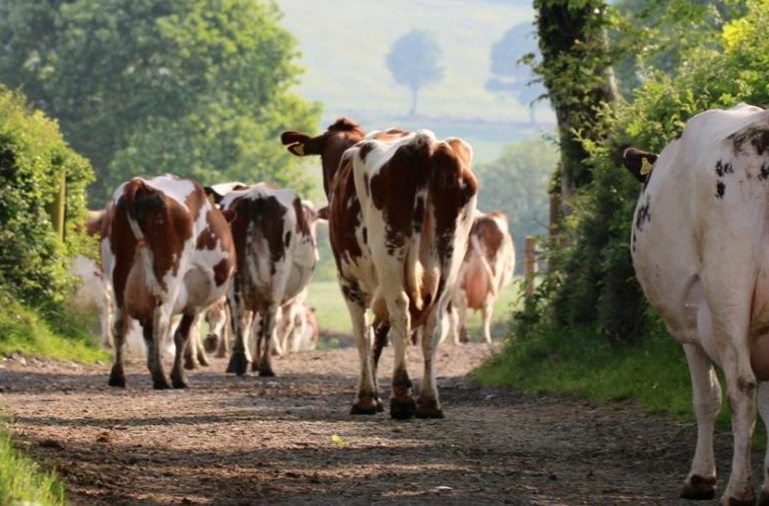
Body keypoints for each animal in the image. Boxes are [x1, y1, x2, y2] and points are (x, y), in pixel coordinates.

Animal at [102, 174, 236, 389]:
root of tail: (141, 184)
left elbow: (148, 335)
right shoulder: (194, 303)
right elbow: (181, 334)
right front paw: (178, 376)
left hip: (118, 274)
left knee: (119, 323)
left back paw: (118, 376)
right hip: (168, 281)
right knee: (162, 323)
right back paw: (161, 377)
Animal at [217, 183, 320, 377]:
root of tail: (256, 195)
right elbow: (260, 324)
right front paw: (257, 362)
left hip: (235, 278)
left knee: (238, 315)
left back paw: (238, 362)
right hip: (278, 273)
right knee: (270, 318)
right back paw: (266, 365)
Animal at [281, 117, 478, 419]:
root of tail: (424, 143)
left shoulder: (348, 280)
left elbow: (363, 332)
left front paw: (366, 398)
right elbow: (379, 331)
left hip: (389, 250)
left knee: (401, 310)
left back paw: (402, 397)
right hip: (450, 253)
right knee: (432, 322)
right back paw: (429, 402)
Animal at [448, 211, 515, 344]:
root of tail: (476, 220)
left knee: (463, 305)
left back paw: (462, 337)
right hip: (493, 275)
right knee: (485, 307)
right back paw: (483, 338)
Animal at [623, 103, 769, 505]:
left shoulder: (690, 322)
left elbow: (707, 398)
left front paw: (701, 478)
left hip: (726, 285)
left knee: (740, 386)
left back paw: (737, 492)